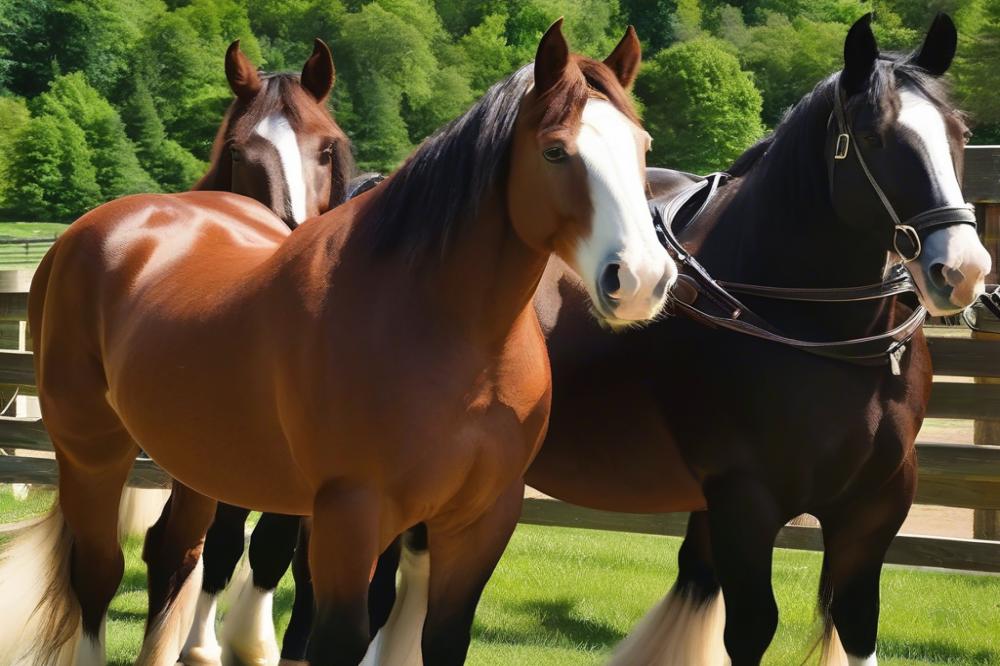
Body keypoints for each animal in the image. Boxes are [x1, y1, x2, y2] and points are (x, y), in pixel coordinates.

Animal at [0, 20, 676, 664]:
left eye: (641, 147)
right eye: (556, 150)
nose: (642, 278)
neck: (450, 332)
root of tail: (89, 232)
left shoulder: (481, 519)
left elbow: (442, 639)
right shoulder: (351, 516)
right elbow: (336, 636)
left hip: (195, 460)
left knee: (175, 554)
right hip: (92, 452)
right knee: (97, 573)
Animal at [528, 11, 988, 664]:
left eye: (960, 131)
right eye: (873, 137)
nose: (963, 269)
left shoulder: (878, 501)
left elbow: (857, 619)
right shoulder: (745, 501)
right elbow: (752, 627)